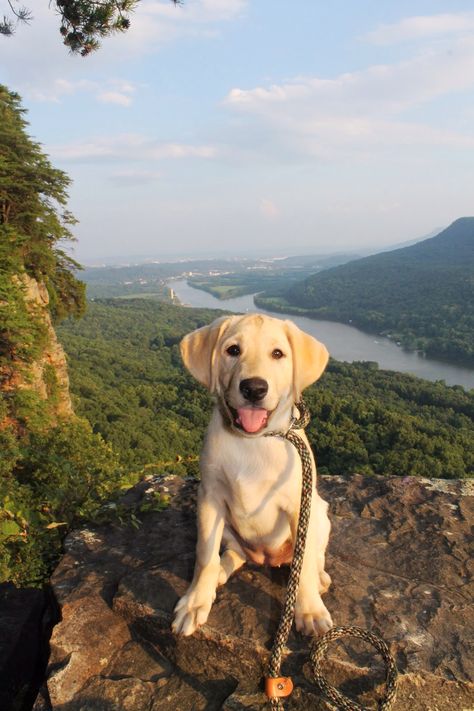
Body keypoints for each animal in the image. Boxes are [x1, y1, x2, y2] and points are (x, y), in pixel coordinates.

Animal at [172, 314, 332, 636]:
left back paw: (319, 579)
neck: (253, 442)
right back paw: (221, 571)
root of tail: (267, 558)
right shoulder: (209, 498)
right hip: (228, 528)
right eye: (232, 350)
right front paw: (195, 602)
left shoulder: (299, 506)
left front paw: (309, 610)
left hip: (320, 513)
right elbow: (204, 555)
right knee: (235, 553)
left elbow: (305, 562)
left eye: (278, 354)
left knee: (313, 556)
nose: (254, 388)